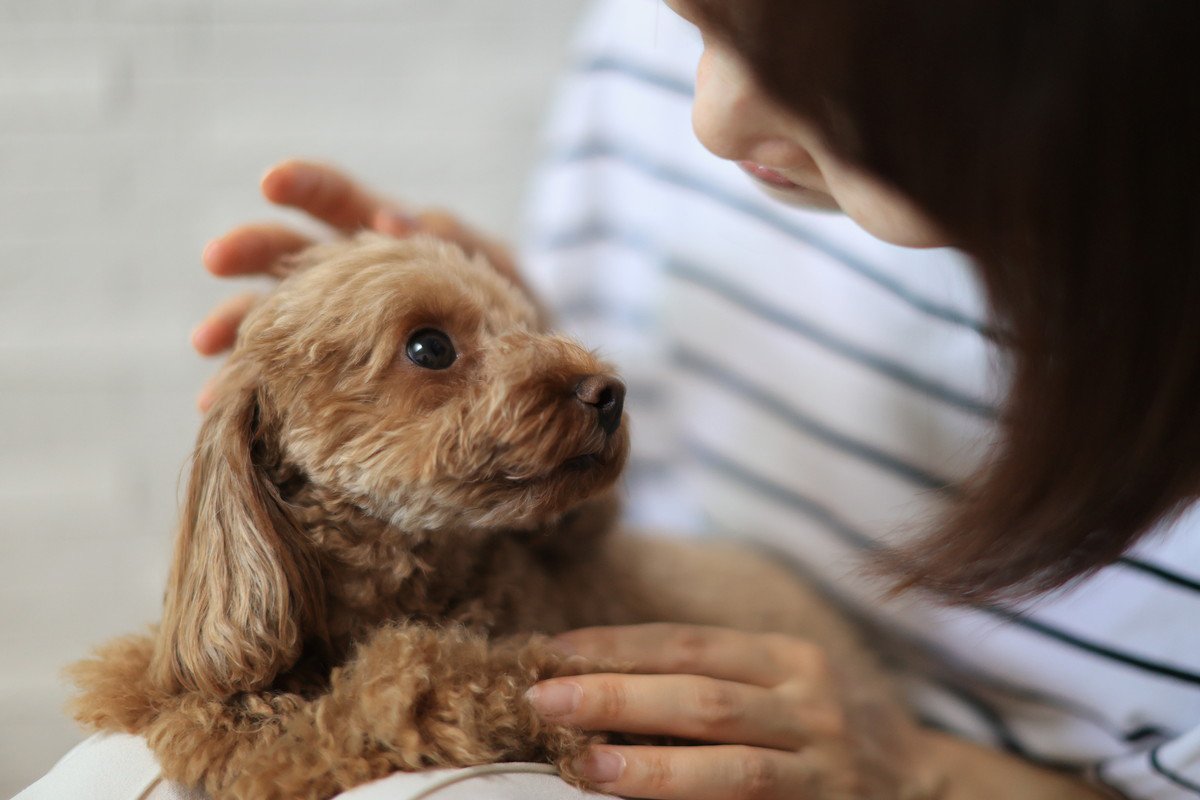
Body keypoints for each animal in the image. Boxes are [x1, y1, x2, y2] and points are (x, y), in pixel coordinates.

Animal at [68, 235, 907, 800]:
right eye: (429, 346)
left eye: (521, 322)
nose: (608, 393)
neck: (407, 579)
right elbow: (153, 677)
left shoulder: (512, 673)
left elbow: (402, 688)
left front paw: (247, 737)